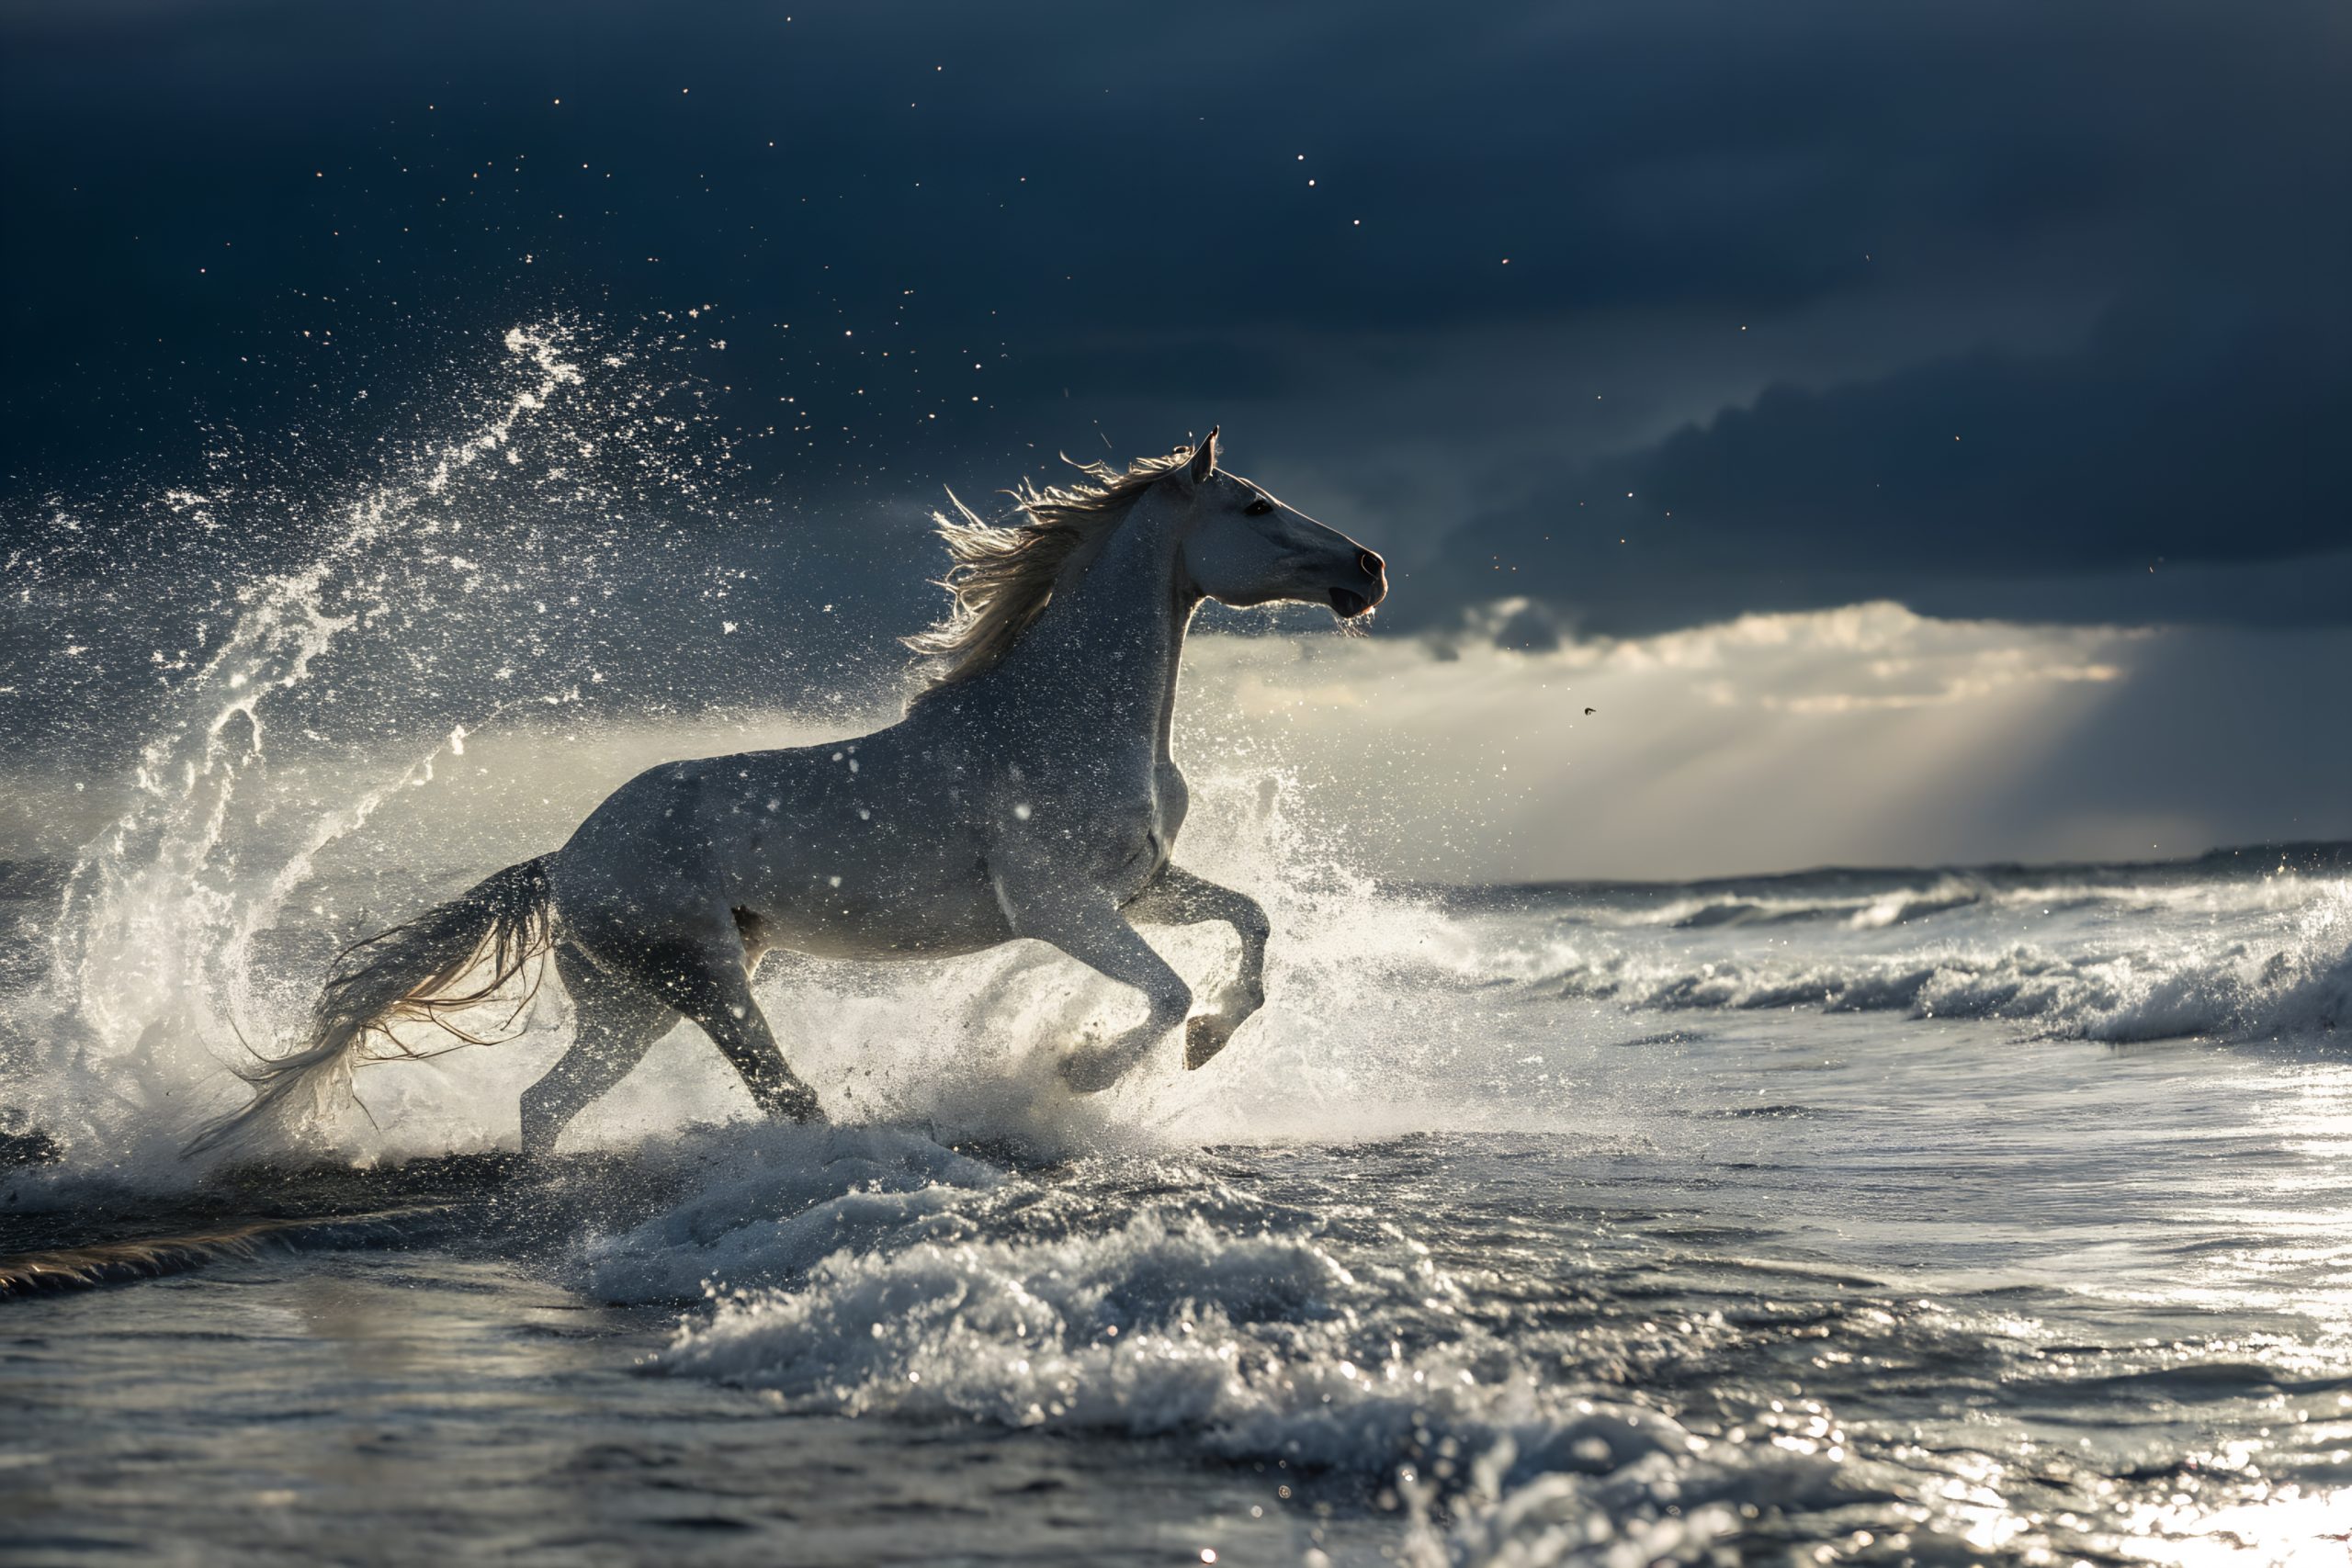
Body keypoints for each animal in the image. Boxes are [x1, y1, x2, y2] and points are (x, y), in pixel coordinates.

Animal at [185, 429, 1388, 1158]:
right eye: (1256, 505)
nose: (1368, 568)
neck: (1064, 720)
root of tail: (565, 857)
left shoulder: (1141, 889)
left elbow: (1250, 923)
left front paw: (1212, 1043)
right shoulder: (1058, 907)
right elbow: (1166, 992)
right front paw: (1084, 1071)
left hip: (634, 1002)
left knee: (548, 1100)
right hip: (702, 975)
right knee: (779, 1093)